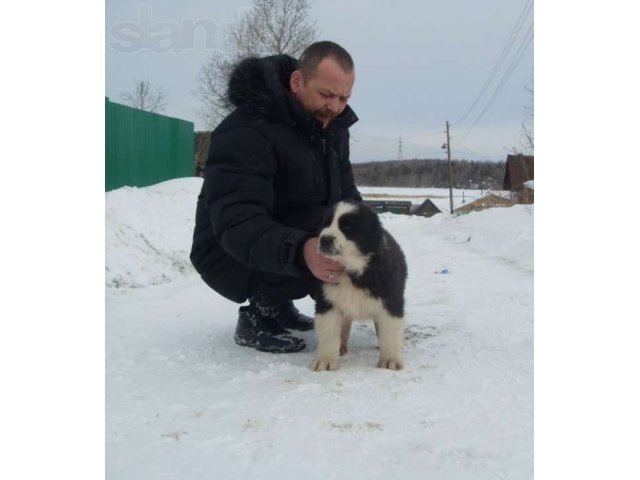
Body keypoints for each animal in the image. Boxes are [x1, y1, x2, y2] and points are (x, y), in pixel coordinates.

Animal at [312, 200, 410, 372]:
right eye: (326, 223)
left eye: (347, 228)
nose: (324, 239)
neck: (352, 269)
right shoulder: (327, 300)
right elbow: (328, 333)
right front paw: (325, 360)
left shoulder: (391, 300)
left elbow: (390, 332)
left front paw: (390, 360)